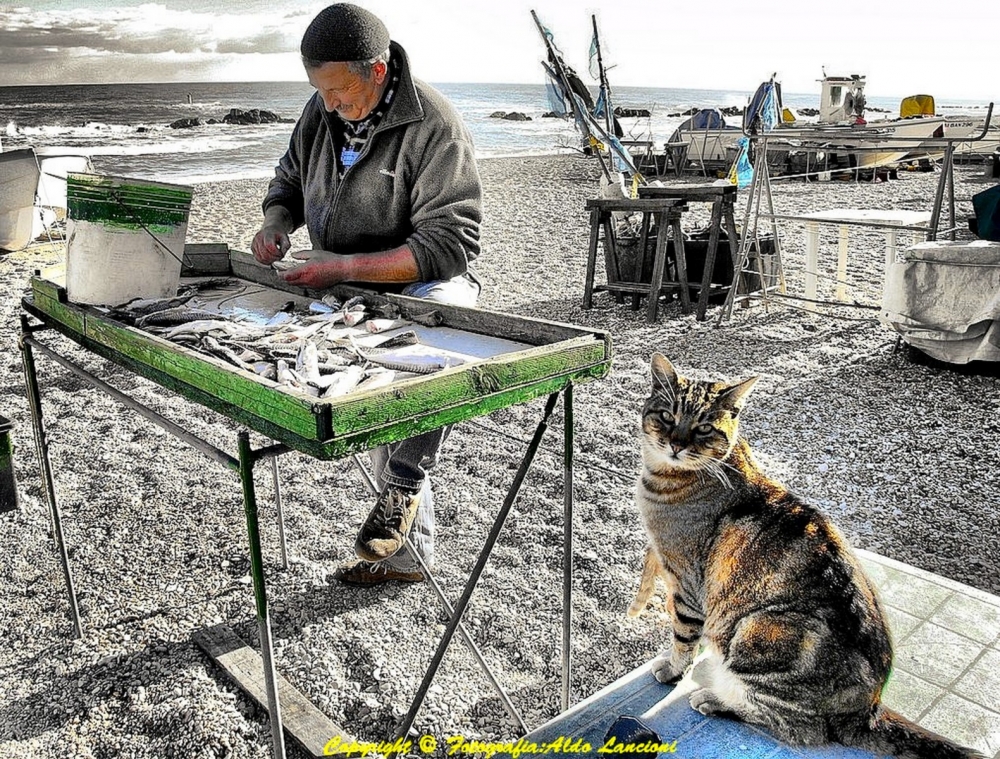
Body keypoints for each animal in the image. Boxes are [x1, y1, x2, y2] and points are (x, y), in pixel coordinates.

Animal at [636, 354, 980, 759]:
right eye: (667, 416)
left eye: (704, 427)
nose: (676, 444)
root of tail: (869, 710)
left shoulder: (686, 584)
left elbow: (682, 637)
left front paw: (673, 668)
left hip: (760, 630)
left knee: (801, 728)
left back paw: (715, 699)